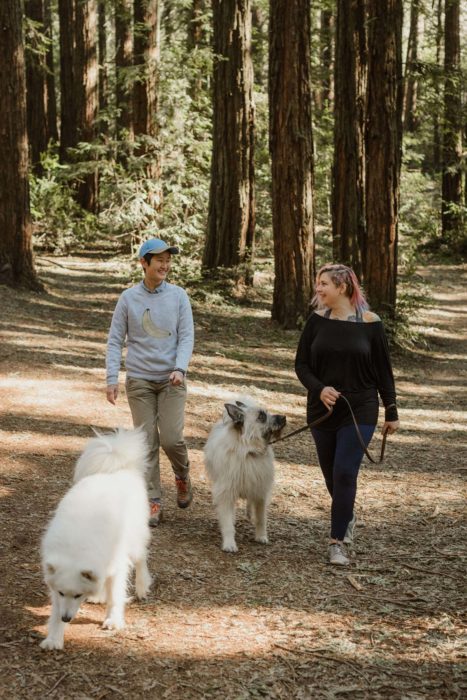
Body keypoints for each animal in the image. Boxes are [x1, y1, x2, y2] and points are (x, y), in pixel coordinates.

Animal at [39, 426, 152, 652]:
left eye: (77, 595)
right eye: (62, 593)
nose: (67, 619)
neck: (76, 548)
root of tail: (118, 469)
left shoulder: (118, 566)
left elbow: (116, 596)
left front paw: (113, 621)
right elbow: (54, 611)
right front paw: (54, 638)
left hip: (134, 542)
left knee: (141, 559)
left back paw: (142, 586)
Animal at [204, 400, 288, 552]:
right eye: (261, 416)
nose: (284, 417)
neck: (249, 452)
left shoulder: (260, 492)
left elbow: (261, 519)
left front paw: (261, 536)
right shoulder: (226, 493)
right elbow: (227, 522)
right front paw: (229, 543)